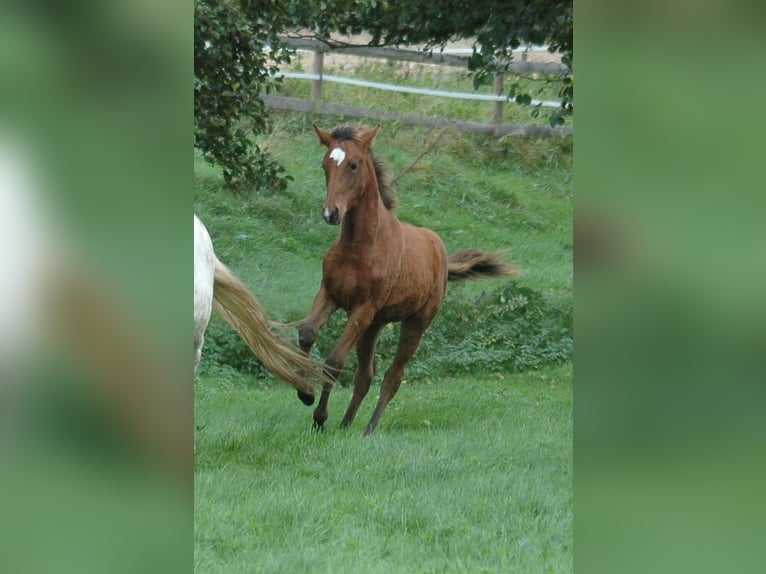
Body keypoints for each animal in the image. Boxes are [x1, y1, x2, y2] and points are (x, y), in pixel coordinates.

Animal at [297, 124, 518, 434]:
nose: (331, 213)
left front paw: (319, 417)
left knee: (393, 376)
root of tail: (441, 254)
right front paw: (305, 393)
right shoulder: (330, 294)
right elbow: (307, 333)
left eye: (354, 164)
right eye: (325, 164)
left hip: (415, 323)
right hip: (375, 325)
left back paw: (369, 429)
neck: (359, 246)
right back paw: (346, 424)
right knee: (365, 375)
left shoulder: (363, 309)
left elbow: (335, 360)